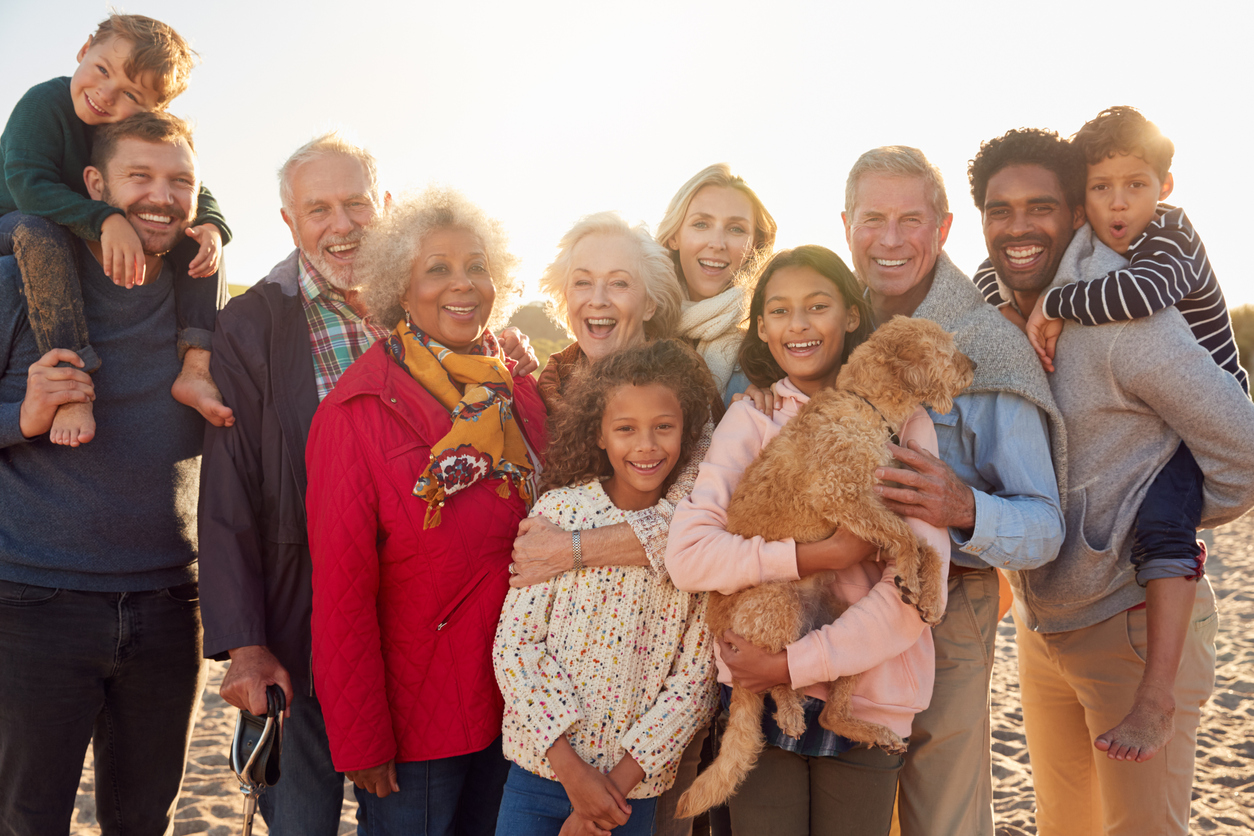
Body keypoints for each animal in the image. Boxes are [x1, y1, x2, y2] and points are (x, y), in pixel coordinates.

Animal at [682, 315, 973, 817]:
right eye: (946, 349)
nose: (973, 365)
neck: (867, 408)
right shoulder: (844, 498)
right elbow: (907, 538)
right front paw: (914, 579)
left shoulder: (885, 506)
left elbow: (927, 547)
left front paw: (928, 596)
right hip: (776, 601)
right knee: (774, 677)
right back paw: (792, 710)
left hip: (848, 635)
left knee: (832, 706)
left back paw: (869, 729)